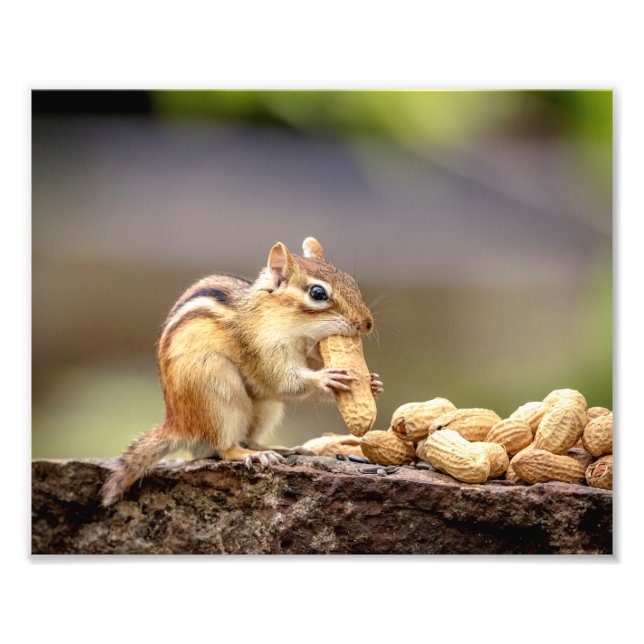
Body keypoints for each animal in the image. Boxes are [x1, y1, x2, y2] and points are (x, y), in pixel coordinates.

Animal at [101, 237, 383, 506]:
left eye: (351, 282)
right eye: (317, 293)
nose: (367, 324)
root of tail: (178, 424)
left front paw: (372, 383)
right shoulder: (262, 350)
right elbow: (284, 381)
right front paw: (326, 378)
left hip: (265, 407)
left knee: (250, 437)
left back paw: (279, 449)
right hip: (218, 395)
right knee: (225, 448)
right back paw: (253, 455)